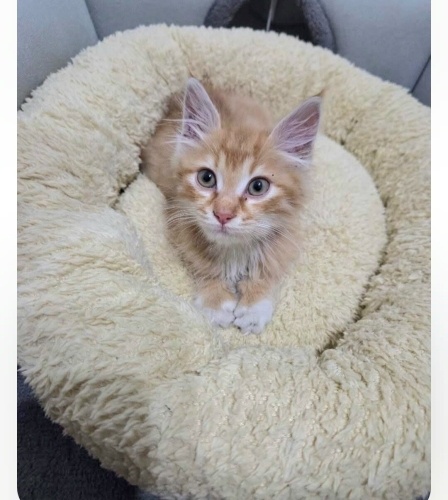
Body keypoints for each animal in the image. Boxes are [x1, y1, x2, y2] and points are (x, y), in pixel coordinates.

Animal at [141, 78, 321, 334]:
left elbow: (268, 269)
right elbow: (202, 265)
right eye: (206, 178)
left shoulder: (286, 235)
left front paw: (255, 304)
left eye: (258, 186)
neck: (235, 249)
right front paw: (215, 301)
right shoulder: (179, 219)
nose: (223, 214)